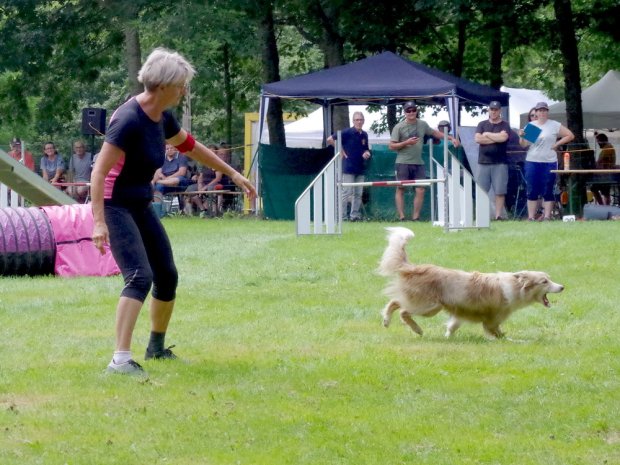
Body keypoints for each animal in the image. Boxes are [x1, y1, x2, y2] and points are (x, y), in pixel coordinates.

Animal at [380, 226, 564, 338]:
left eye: (549, 279)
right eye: (544, 281)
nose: (562, 287)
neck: (515, 286)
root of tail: (413, 268)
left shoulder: (460, 312)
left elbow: (452, 326)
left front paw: (448, 337)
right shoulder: (491, 321)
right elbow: (499, 334)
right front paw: (513, 341)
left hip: (424, 303)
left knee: (395, 301)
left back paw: (386, 321)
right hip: (430, 306)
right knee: (403, 310)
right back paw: (416, 329)